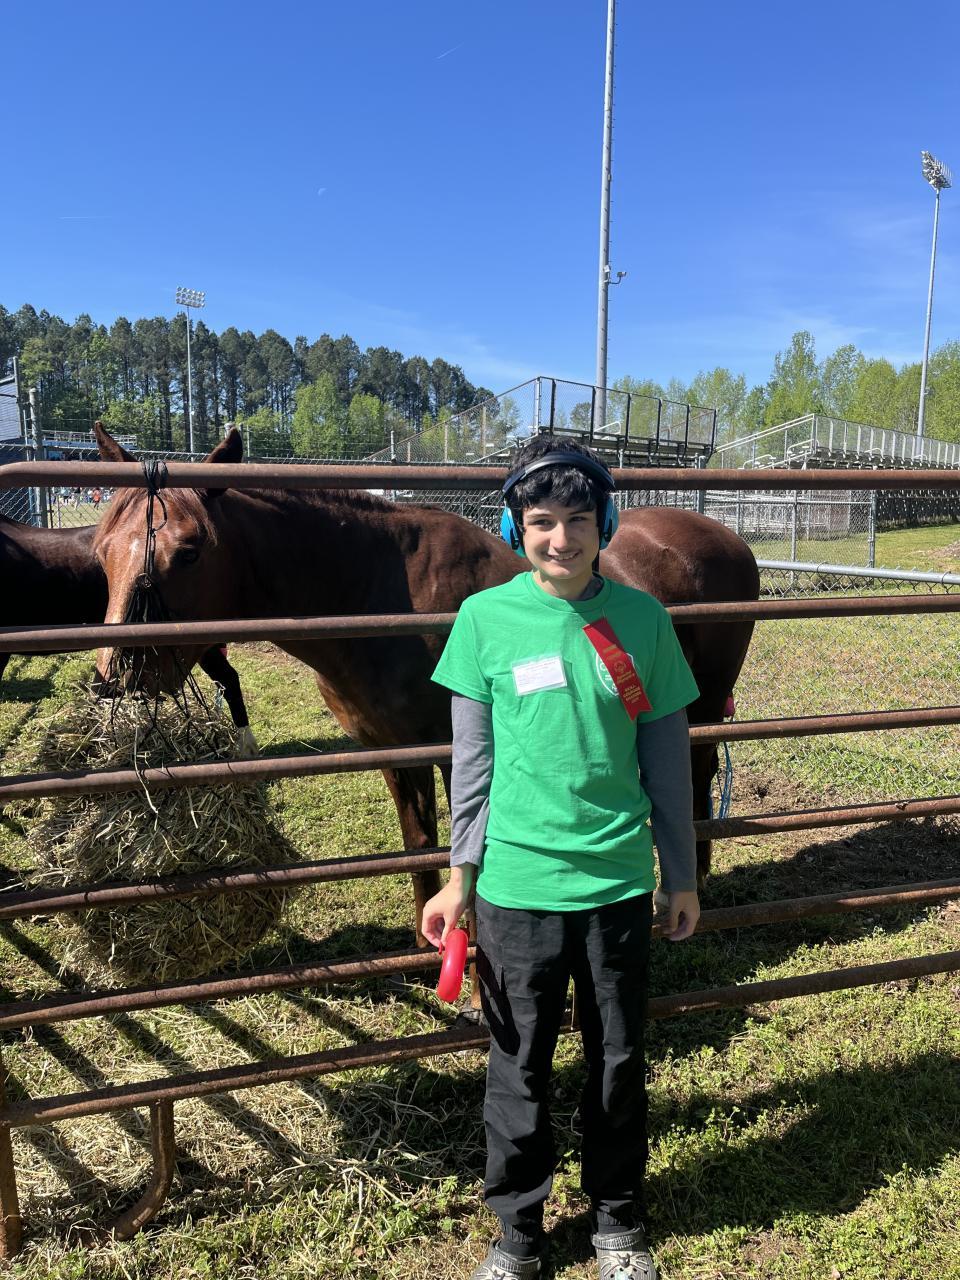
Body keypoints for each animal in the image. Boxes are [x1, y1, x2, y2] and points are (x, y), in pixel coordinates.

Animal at [90, 424, 758, 935]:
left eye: (190, 550)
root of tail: (726, 537)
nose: (116, 674)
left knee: (695, 777)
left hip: (698, 709)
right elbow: (419, 846)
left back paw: (692, 884)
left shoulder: (456, 751)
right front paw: (426, 941)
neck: (380, 595)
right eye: (101, 550)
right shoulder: (394, 752)